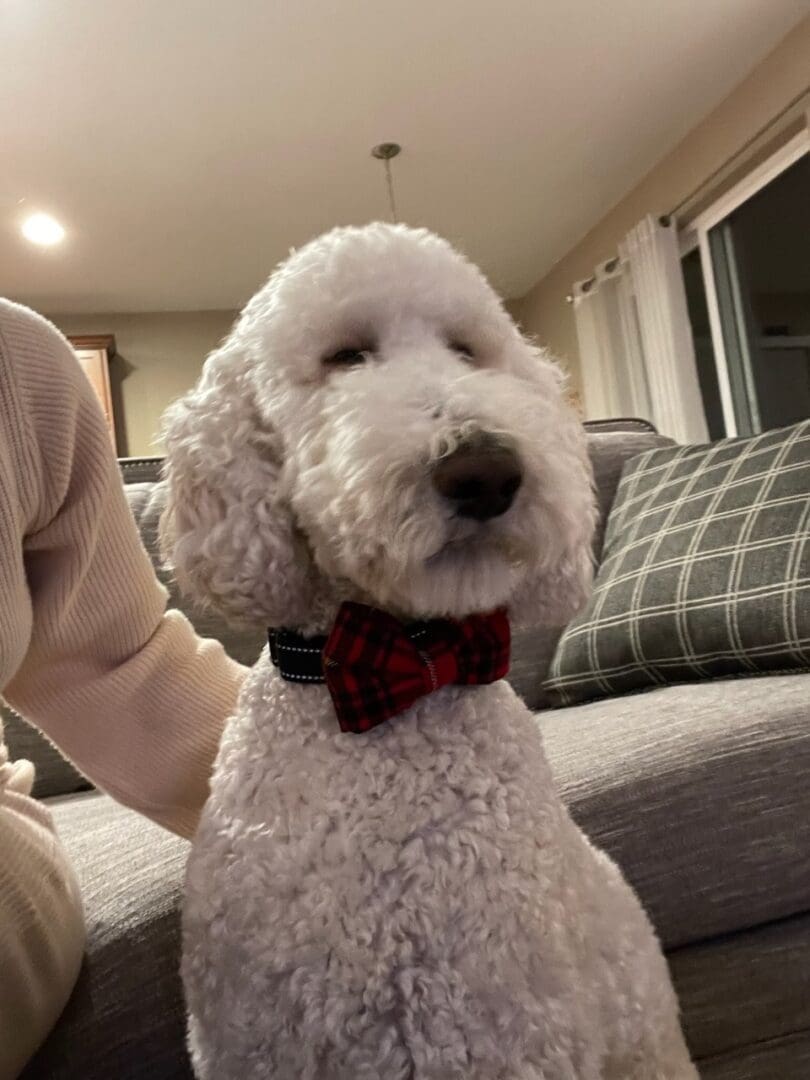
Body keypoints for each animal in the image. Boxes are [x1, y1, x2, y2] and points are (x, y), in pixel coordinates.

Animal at [159, 221, 699, 1080]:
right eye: (347, 356)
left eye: (467, 351)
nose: (485, 470)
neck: (407, 658)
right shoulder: (260, 1040)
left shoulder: (509, 1032)